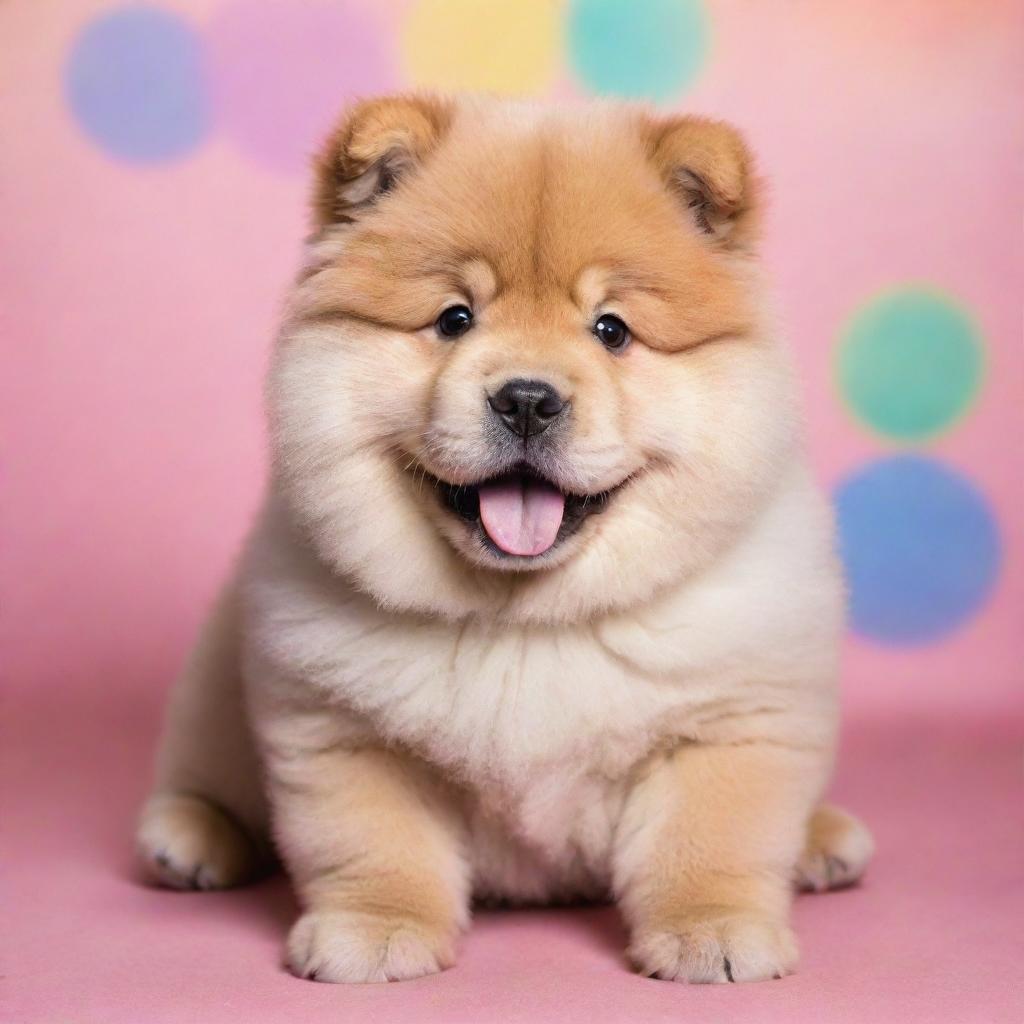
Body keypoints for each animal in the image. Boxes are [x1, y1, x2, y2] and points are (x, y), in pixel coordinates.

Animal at [136, 94, 872, 983]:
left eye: (612, 330)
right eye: (455, 319)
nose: (526, 398)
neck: (526, 620)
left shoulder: (732, 719)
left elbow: (709, 836)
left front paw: (714, 932)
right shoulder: (341, 726)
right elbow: (372, 842)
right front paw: (374, 932)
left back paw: (824, 841)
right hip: (217, 682)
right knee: (209, 773)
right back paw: (189, 836)